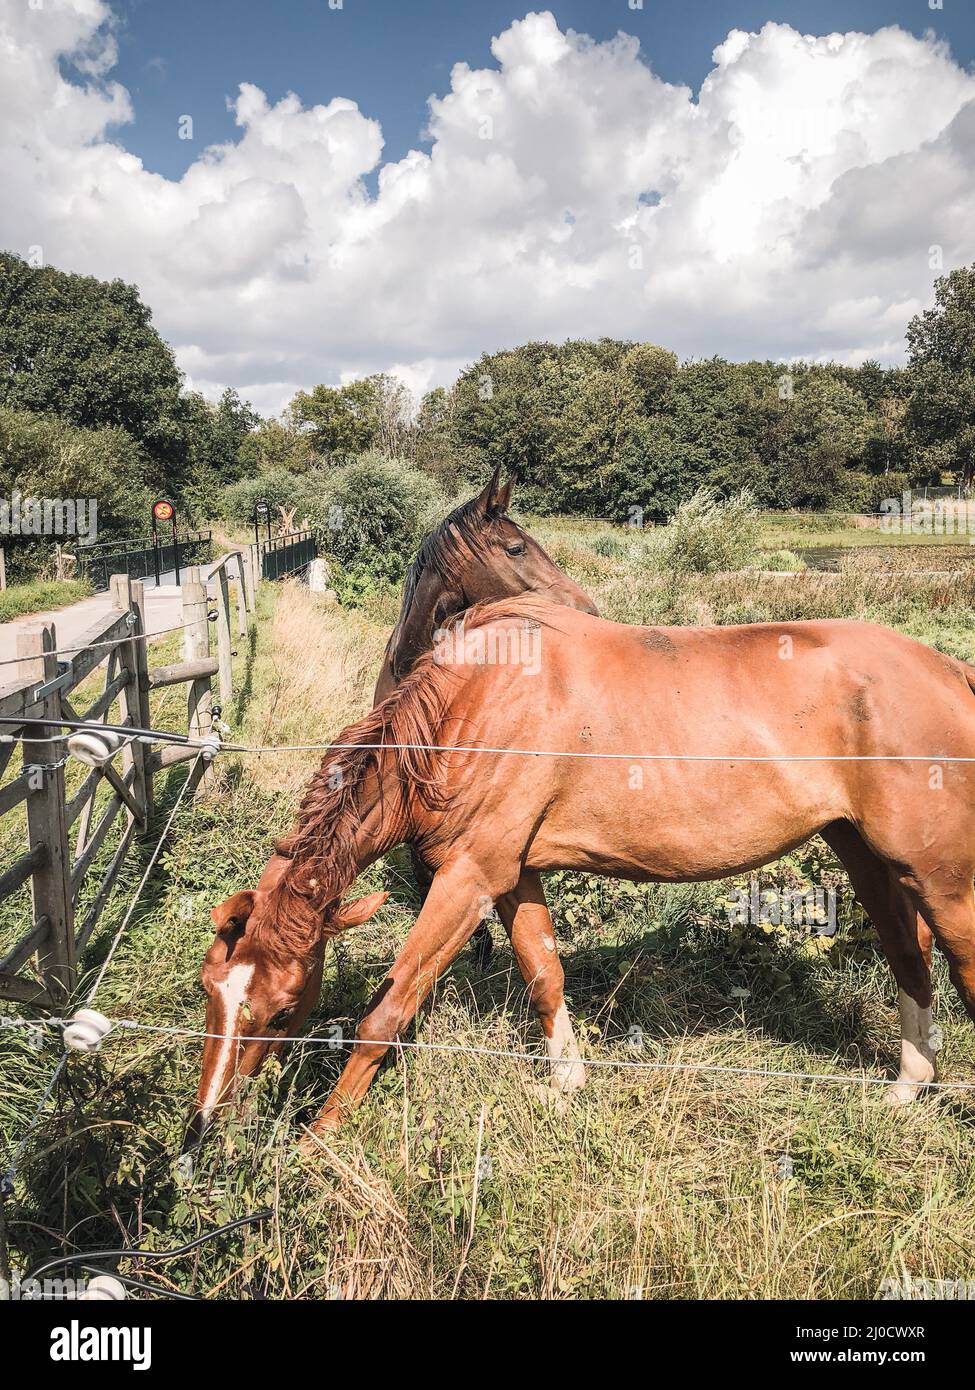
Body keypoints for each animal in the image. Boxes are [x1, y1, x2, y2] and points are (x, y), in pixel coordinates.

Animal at [187, 599, 975, 1148]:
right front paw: (566, 1082)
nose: (204, 1127)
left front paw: (318, 1142)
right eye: (209, 994)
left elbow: (388, 1010)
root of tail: (952, 673)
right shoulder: (512, 875)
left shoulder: (468, 876)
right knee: (908, 954)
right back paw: (906, 1086)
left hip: (940, 875)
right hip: (864, 851)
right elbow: (544, 973)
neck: (474, 701)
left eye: (284, 1010)